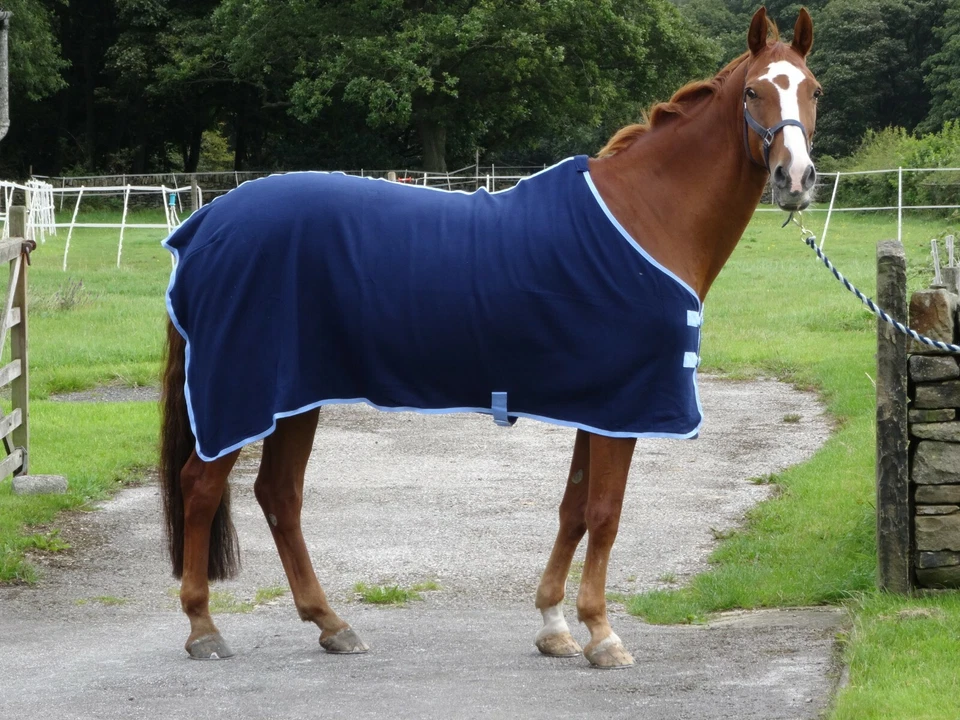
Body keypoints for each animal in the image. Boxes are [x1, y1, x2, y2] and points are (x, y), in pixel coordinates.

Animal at [159, 7, 820, 669]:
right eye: (754, 91)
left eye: (813, 90)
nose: (795, 178)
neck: (645, 215)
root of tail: (208, 221)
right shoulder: (625, 405)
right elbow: (605, 513)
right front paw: (602, 633)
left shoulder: (597, 404)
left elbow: (574, 510)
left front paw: (554, 623)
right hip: (238, 392)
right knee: (201, 487)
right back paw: (202, 628)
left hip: (296, 397)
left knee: (279, 495)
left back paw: (331, 623)